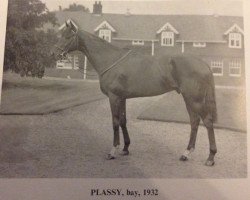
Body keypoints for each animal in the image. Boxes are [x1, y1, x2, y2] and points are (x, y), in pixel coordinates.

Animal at [51, 20, 218, 166]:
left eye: (67, 36)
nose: (53, 54)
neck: (110, 59)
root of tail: (204, 64)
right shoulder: (122, 97)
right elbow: (123, 121)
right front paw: (125, 148)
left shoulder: (114, 97)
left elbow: (115, 122)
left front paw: (113, 151)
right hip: (188, 98)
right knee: (194, 122)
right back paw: (186, 153)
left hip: (194, 99)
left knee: (207, 122)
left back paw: (210, 157)